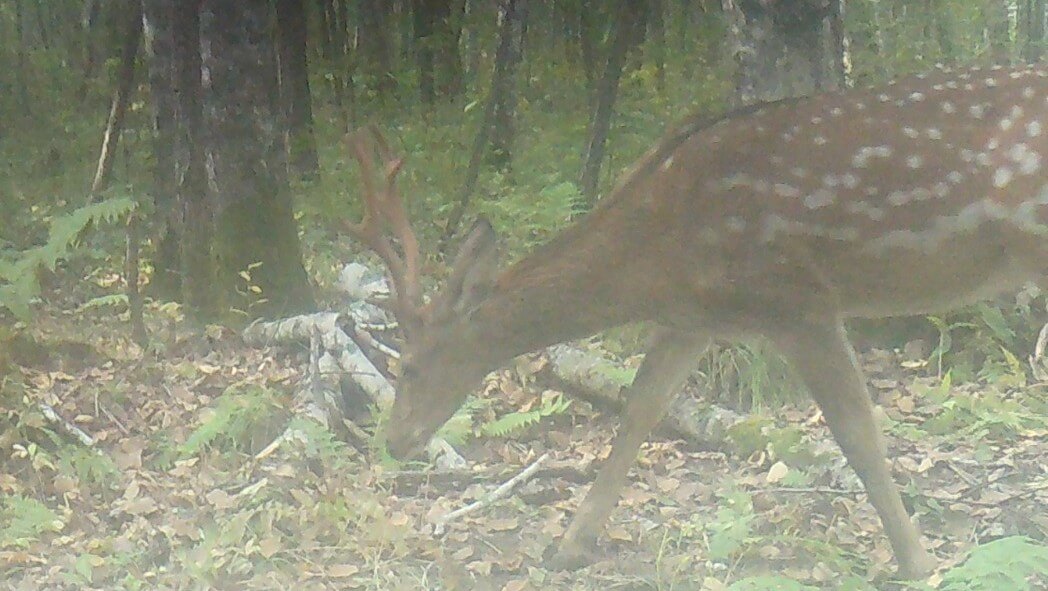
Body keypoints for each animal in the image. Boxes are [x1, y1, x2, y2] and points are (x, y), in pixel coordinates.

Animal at [344, 62, 1047, 579]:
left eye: (409, 365)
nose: (393, 441)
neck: (656, 254)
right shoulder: (693, 318)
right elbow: (639, 410)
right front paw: (568, 546)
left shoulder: (796, 299)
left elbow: (859, 434)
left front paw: (918, 562)